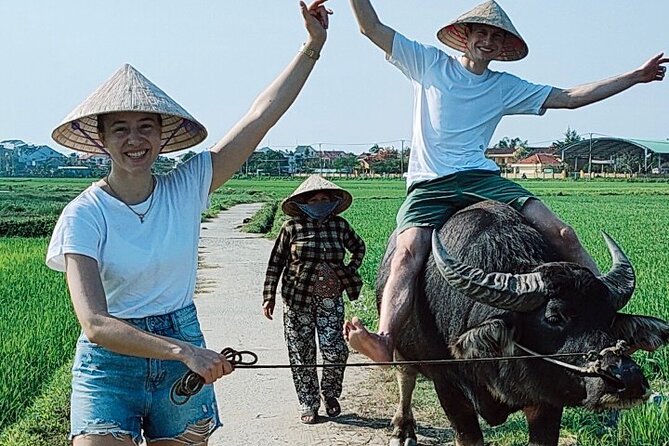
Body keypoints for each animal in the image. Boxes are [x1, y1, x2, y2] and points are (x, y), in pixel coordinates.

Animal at [376, 201, 668, 446]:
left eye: (608, 318)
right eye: (553, 318)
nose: (628, 378)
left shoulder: (546, 399)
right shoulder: (448, 388)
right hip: (402, 349)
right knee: (406, 377)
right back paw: (403, 429)